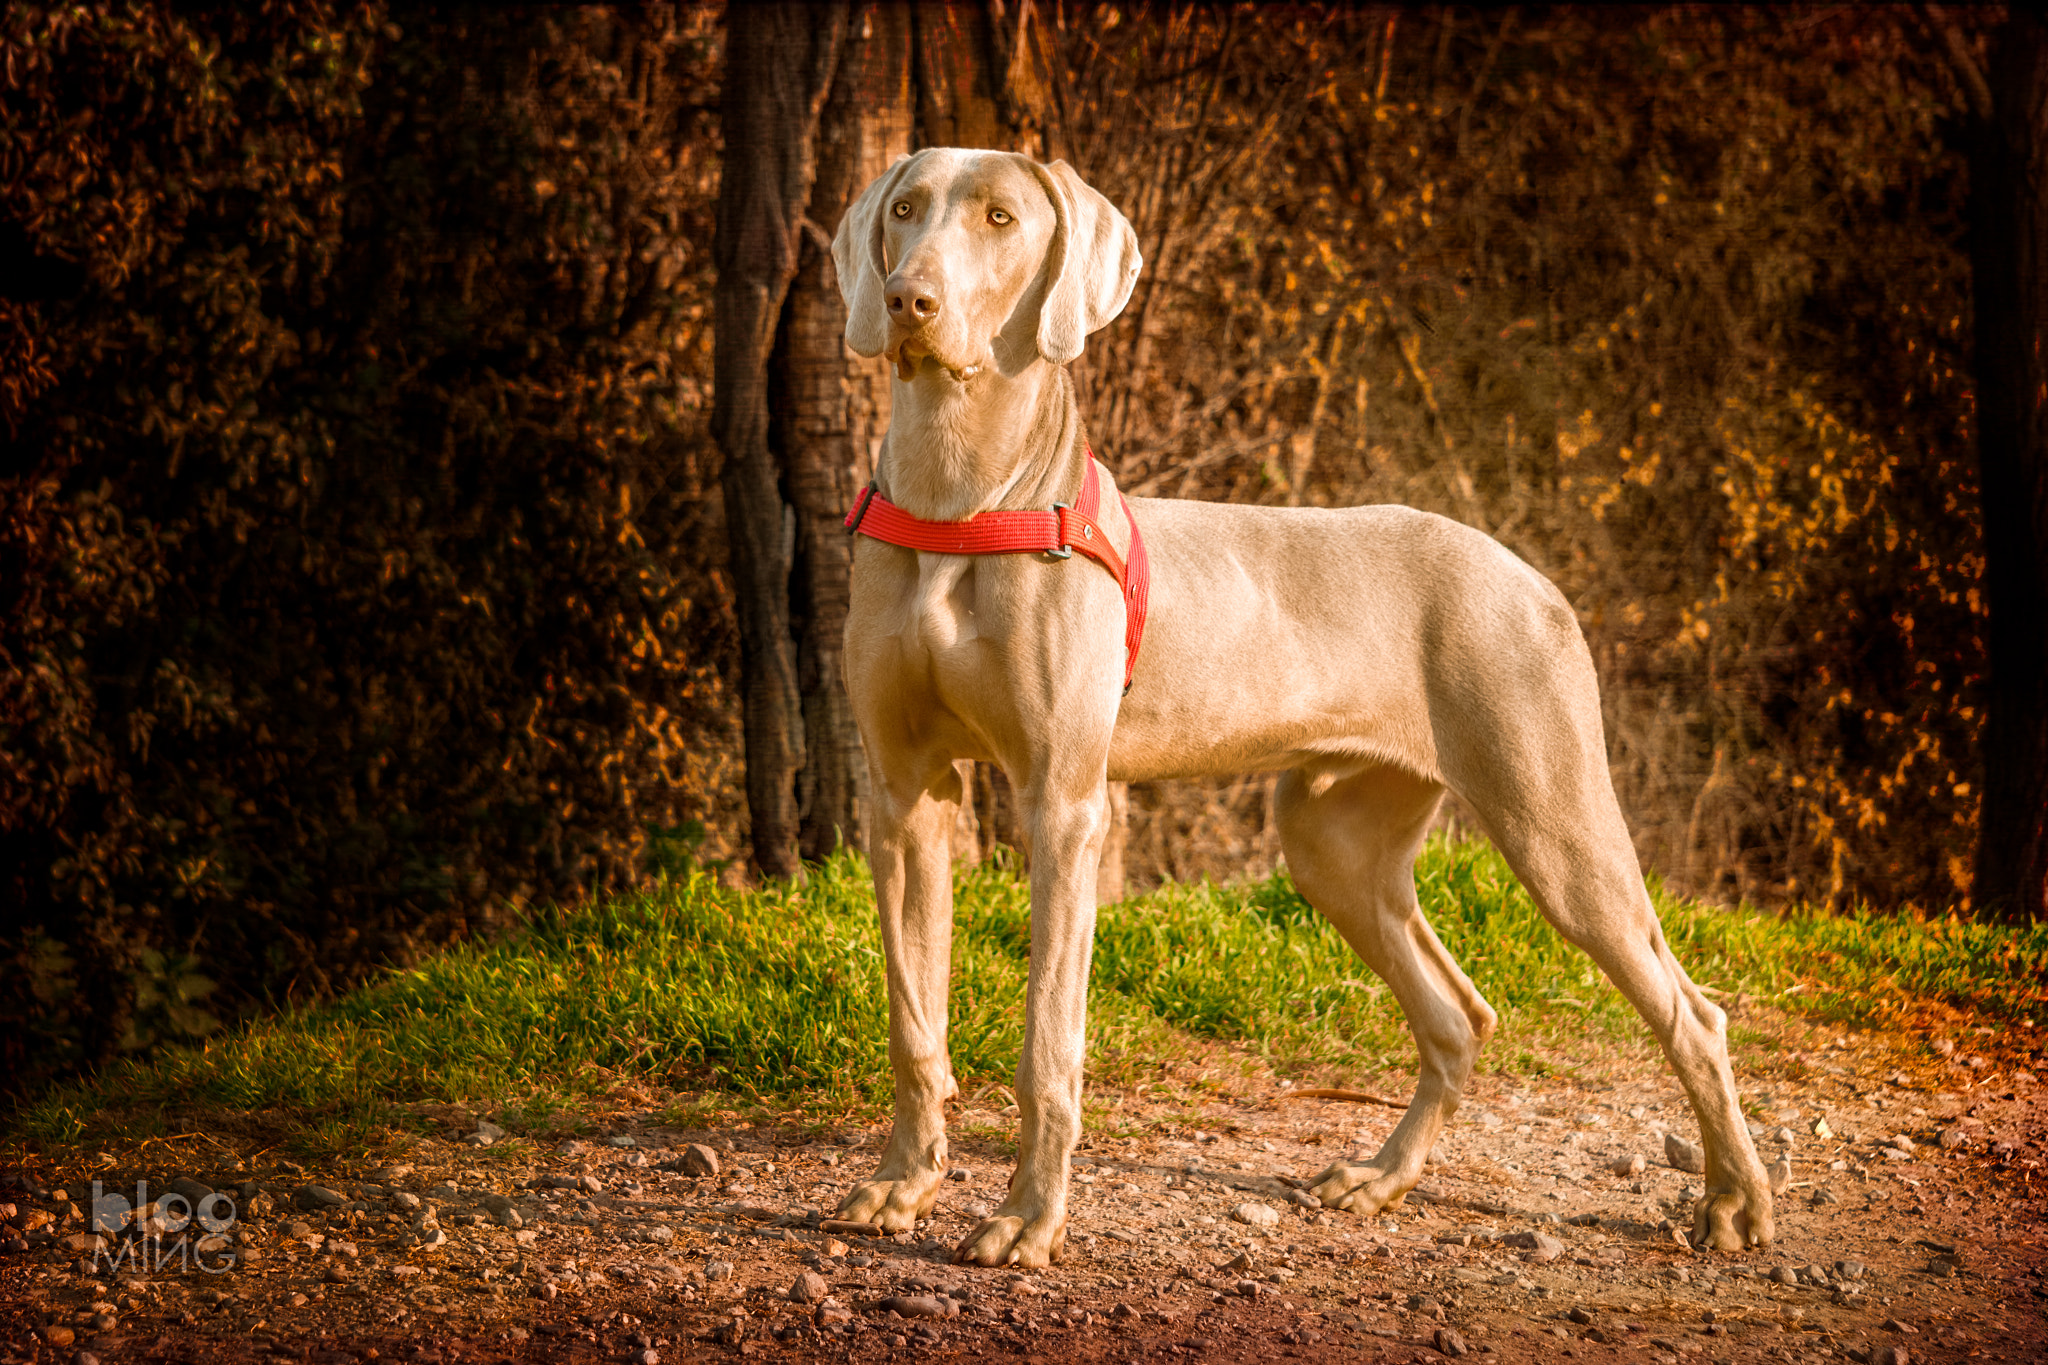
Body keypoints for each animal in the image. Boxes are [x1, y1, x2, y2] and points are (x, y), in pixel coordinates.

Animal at [831, 144, 1777, 1268]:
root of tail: (1530, 573)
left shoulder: (1063, 807)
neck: (960, 502)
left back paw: (1737, 1199)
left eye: (1001, 217)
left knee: (1690, 1013)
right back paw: (1381, 1177)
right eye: (902, 209)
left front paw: (1027, 1217)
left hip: (1555, 825)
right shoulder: (904, 800)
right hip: (1333, 840)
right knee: (1458, 1015)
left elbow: (1046, 1044)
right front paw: (903, 1184)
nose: (907, 298)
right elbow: (910, 1020)